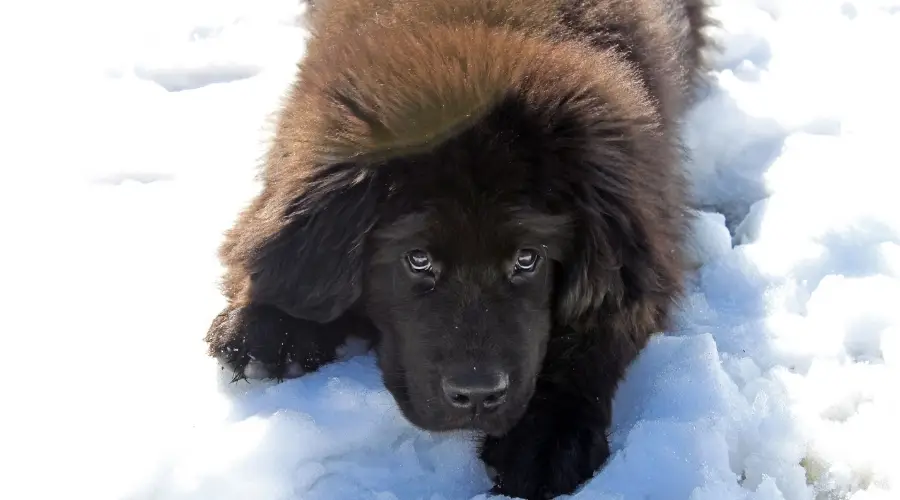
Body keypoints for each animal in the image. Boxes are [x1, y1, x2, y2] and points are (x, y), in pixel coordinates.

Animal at [204, 1, 712, 498]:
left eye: (527, 259)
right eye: (418, 259)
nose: (477, 395)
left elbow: (598, 328)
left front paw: (548, 437)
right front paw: (267, 326)